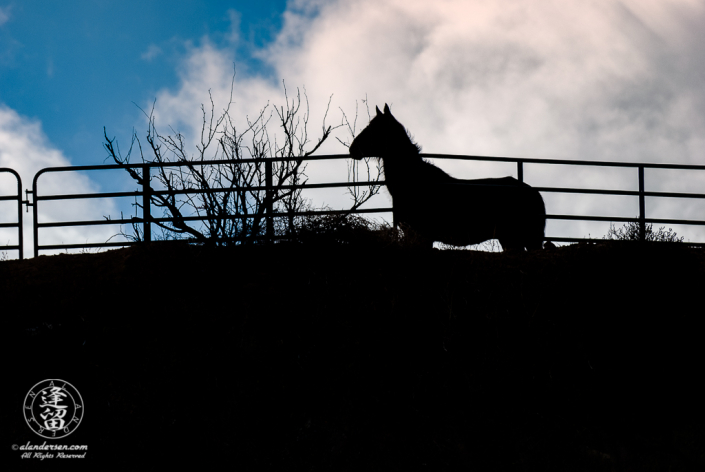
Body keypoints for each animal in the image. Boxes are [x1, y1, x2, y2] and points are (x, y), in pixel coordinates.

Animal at [350, 103, 548, 251]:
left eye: (375, 129)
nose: (353, 148)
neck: (415, 182)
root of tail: (534, 192)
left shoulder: (422, 236)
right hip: (510, 239)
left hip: (525, 239)